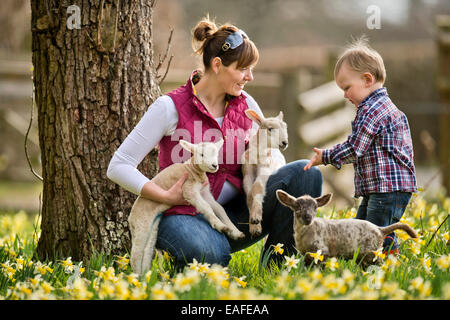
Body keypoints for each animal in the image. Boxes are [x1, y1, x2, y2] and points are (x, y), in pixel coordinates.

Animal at [128, 139, 244, 274]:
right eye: (201, 154)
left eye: (216, 153)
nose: (214, 165)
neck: (192, 169)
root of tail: (130, 217)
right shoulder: (189, 190)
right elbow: (206, 207)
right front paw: (220, 226)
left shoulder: (205, 193)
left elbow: (219, 209)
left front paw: (235, 231)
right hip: (141, 225)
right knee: (136, 254)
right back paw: (137, 277)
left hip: (153, 227)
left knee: (147, 251)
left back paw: (146, 276)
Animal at [276, 189, 420, 266]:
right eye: (297, 206)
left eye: (315, 207)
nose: (308, 218)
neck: (304, 233)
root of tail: (380, 229)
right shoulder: (306, 256)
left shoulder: (322, 252)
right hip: (364, 257)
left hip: (372, 252)